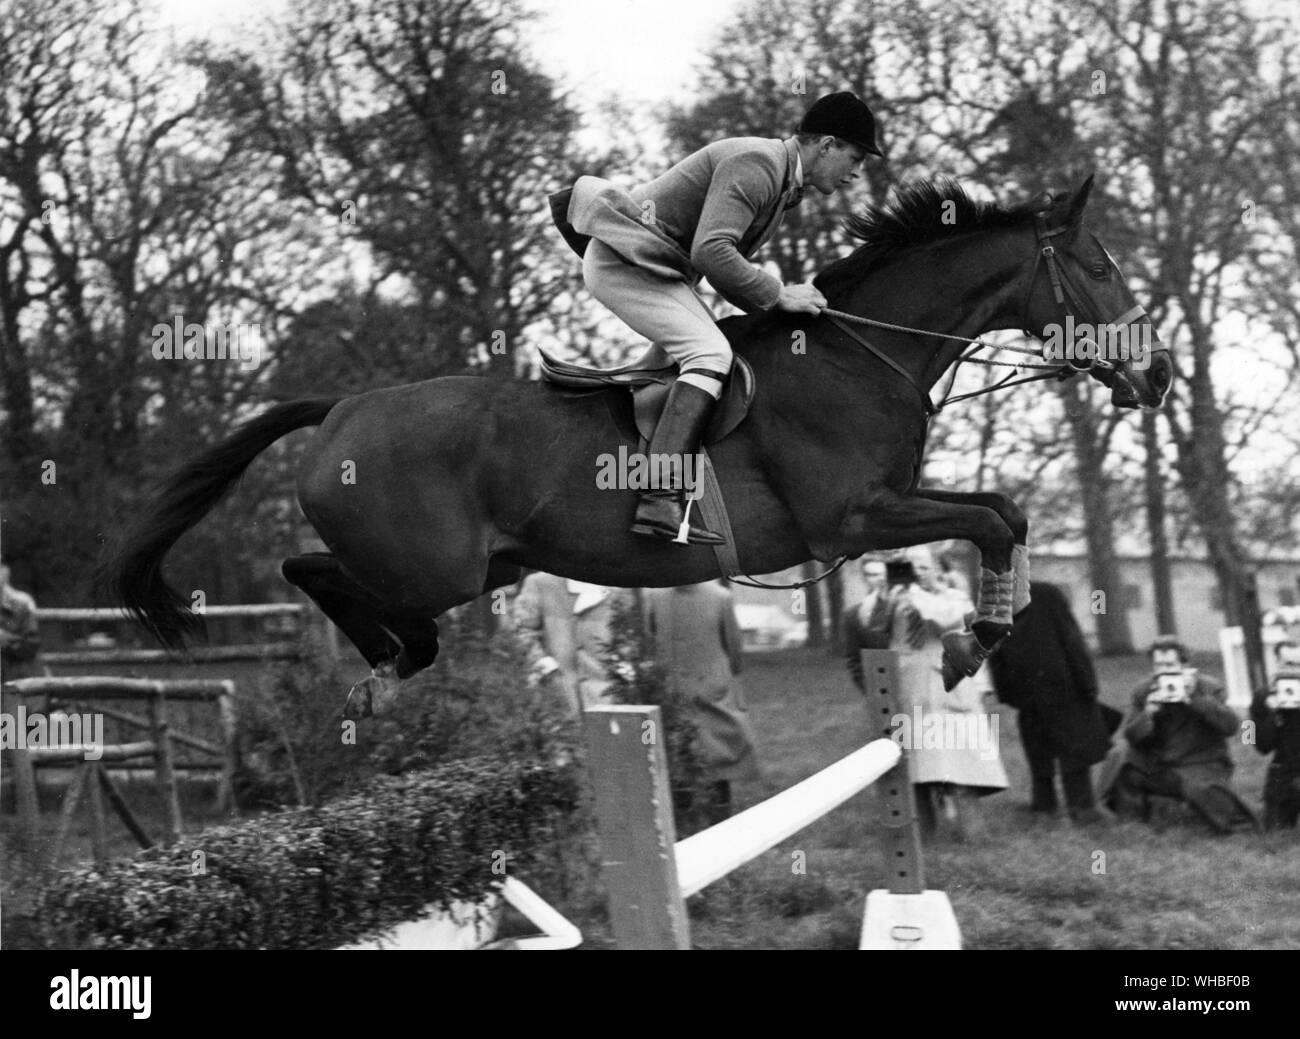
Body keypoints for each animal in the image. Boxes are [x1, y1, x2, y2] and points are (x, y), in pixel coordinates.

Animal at [101, 176, 1175, 717]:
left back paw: (391, 664)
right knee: (312, 568)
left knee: (340, 581)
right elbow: (997, 515)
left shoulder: (880, 511)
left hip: (479, 563)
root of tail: (340, 408)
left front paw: (977, 633)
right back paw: (388, 661)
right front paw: (971, 642)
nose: (1160, 373)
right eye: (1100, 265)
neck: (861, 353)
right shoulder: (853, 517)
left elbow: (1003, 513)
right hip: (431, 563)